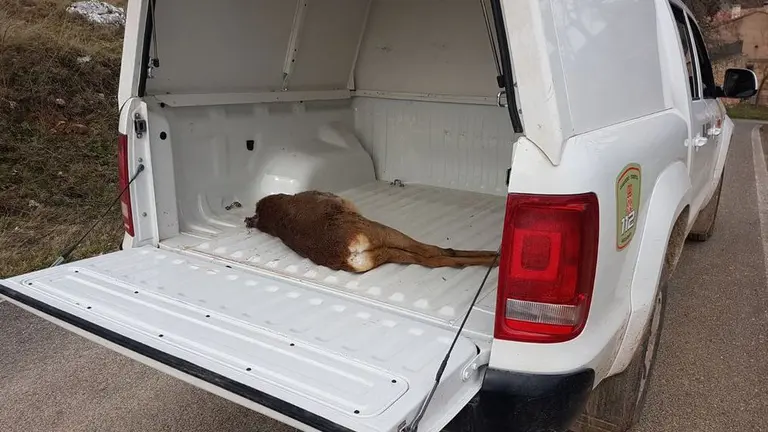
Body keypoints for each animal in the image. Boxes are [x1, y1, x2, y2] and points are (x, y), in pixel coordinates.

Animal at [244, 190, 499, 273]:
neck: (275, 215)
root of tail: (348, 253)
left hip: (383, 253)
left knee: (426, 257)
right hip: (382, 232)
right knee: (434, 253)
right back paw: (492, 258)